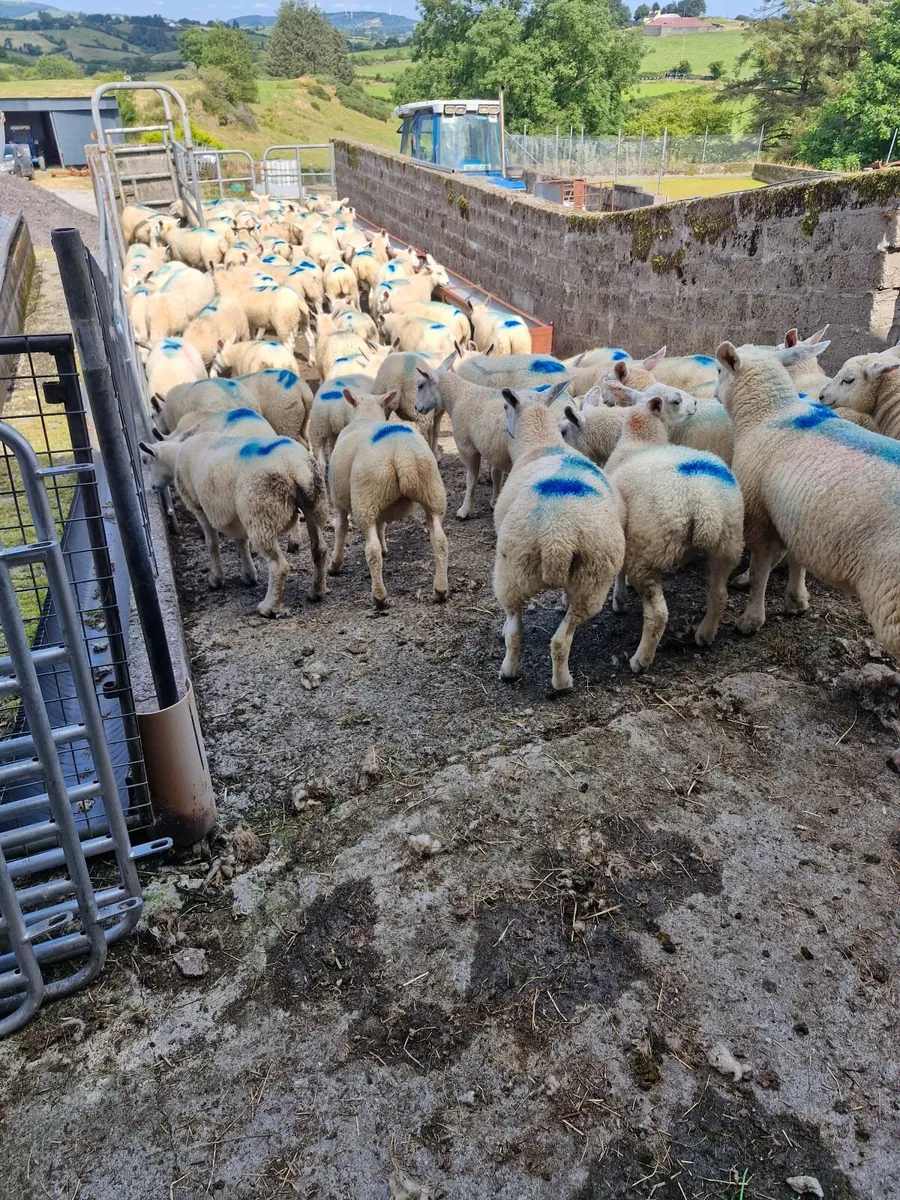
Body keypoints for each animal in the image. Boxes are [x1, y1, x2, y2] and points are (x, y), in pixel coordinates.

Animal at [139, 431, 329, 618]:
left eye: (145, 461)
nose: (153, 487)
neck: (176, 456)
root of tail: (296, 468)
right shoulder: (236, 518)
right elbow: (241, 542)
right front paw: (249, 574)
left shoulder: (199, 508)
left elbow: (212, 544)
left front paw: (216, 579)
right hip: (313, 504)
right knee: (319, 550)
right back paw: (316, 591)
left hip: (260, 515)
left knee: (279, 566)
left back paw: (269, 607)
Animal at [327, 388, 449, 609]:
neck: (366, 416)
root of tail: (402, 453)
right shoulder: (381, 504)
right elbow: (382, 524)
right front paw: (385, 546)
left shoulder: (339, 502)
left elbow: (341, 529)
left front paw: (335, 564)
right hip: (432, 493)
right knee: (440, 541)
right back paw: (441, 590)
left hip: (364, 499)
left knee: (371, 551)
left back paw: (379, 597)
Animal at [415, 351, 568, 518]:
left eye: (420, 385)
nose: (416, 407)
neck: (458, 396)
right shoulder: (495, 450)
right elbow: (496, 476)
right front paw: (494, 501)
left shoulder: (467, 448)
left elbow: (471, 480)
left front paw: (465, 510)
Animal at [492, 389, 625, 692]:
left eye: (505, 407)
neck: (541, 441)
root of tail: (557, 537)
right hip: (577, 579)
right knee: (543, 637)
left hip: (515, 573)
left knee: (537, 636)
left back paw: (546, 679)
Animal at [602, 381, 744, 673]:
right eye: (676, 400)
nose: (696, 404)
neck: (640, 440)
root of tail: (703, 504)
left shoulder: (624, 529)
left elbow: (619, 571)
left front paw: (619, 599)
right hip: (728, 544)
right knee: (719, 595)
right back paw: (705, 635)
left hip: (647, 550)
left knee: (658, 614)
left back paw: (640, 660)